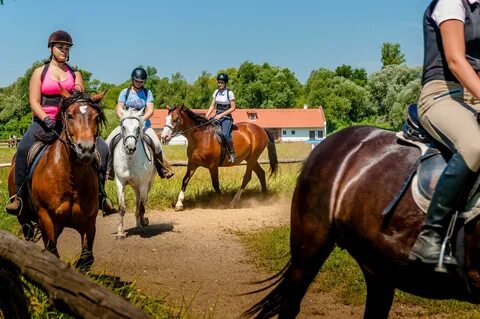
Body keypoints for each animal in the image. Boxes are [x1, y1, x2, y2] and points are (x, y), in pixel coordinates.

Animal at [7, 89, 105, 272]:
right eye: (69, 115)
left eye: (96, 117)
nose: (86, 149)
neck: (70, 178)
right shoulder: (46, 218)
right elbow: (52, 254)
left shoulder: (89, 221)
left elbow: (86, 259)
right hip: (24, 219)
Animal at [114, 109, 156, 240]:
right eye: (123, 127)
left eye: (138, 128)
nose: (130, 148)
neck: (130, 160)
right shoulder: (120, 182)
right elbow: (122, 208)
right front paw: (120, 233)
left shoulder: (143, 184)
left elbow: (142, 206)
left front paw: (144, 222)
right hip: (135, 186)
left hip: (146, 185)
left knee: (141, 203)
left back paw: (140, 224)